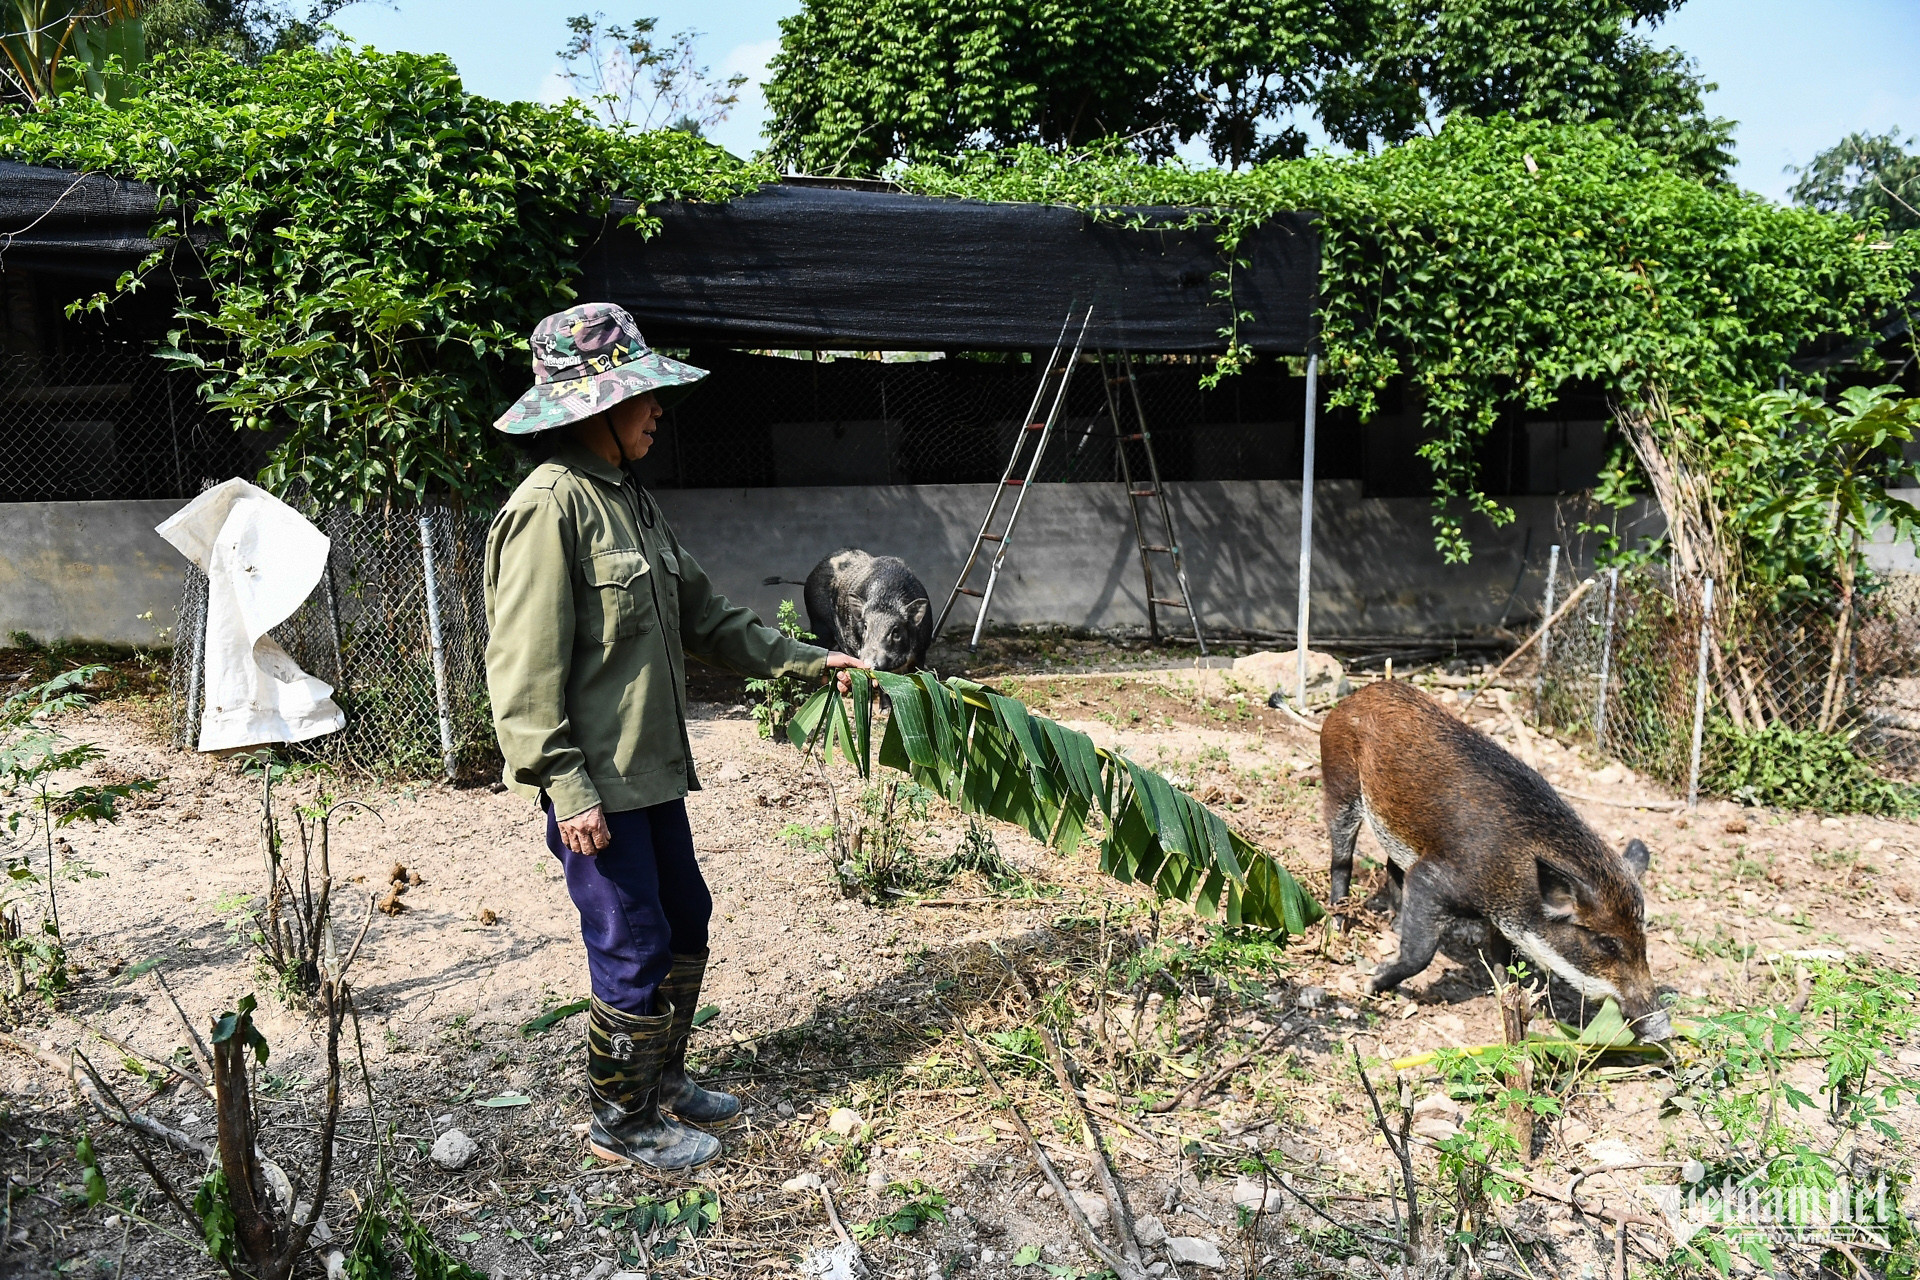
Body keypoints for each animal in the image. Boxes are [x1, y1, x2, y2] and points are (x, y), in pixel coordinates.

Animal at [1320, 679, 1666, 1043]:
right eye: (1606, 943)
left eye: (1643, 937)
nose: (1663, 1027)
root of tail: (1358, 696)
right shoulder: (1432, 880)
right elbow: (1421, 954)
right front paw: (1371, 983)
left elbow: (1504, 959)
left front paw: (1507, 998)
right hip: (1340, 782)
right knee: (1341, 859)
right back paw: (1338, 923)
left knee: (1391, 865)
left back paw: (1393, 922)